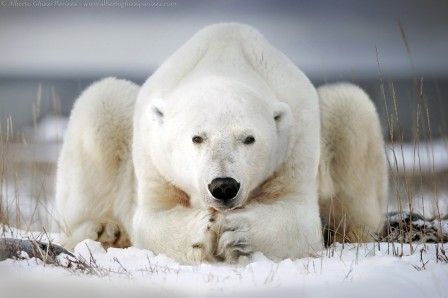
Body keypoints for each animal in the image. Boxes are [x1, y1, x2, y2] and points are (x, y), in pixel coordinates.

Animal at [54, 22, 386, 264]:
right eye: (197, 138)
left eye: (249, 138)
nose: (224, 186)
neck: (225, 57)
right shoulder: (153, 156)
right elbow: (151, 217)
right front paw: (202, 231)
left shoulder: (296, 141)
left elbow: (299, 217)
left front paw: (237, 233)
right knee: (101, 103)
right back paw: (103, 231)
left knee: (350, 108)